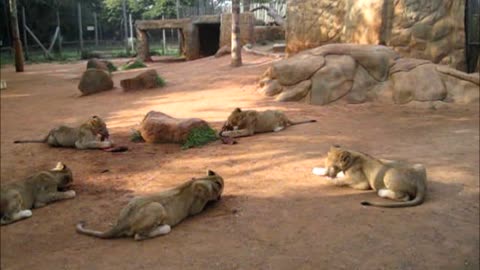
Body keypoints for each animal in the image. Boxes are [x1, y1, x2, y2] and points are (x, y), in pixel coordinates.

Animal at [76, 170, 224, 242]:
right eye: (220, 185)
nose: (219, 195)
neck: (203, 179)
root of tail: (123, 222)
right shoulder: (196, 207)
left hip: (135, 200)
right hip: (157, 207)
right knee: (138, 236)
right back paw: (163, 228)